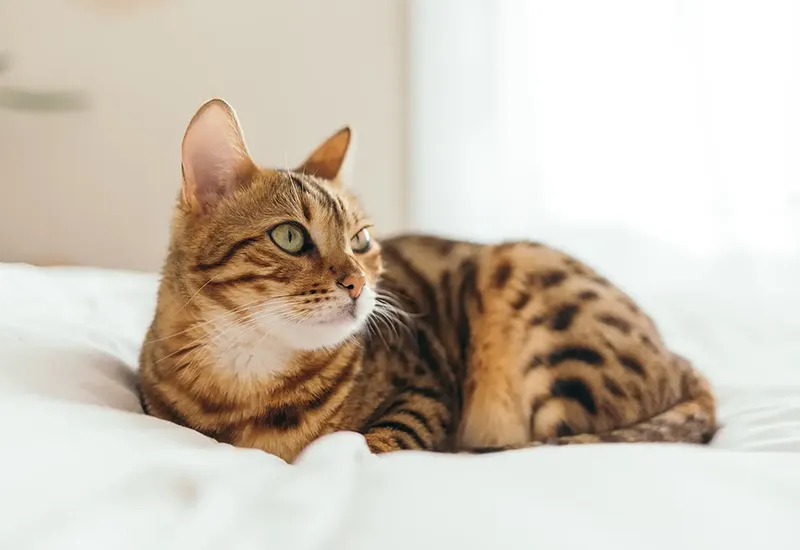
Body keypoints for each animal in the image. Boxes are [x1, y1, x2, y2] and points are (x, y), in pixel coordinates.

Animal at [138, 100, 720, 466]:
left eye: (361, 240)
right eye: (289, 236)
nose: (357, 283)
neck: (247, 380)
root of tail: (682, 362)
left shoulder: (426, 390)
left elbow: (375, 442)